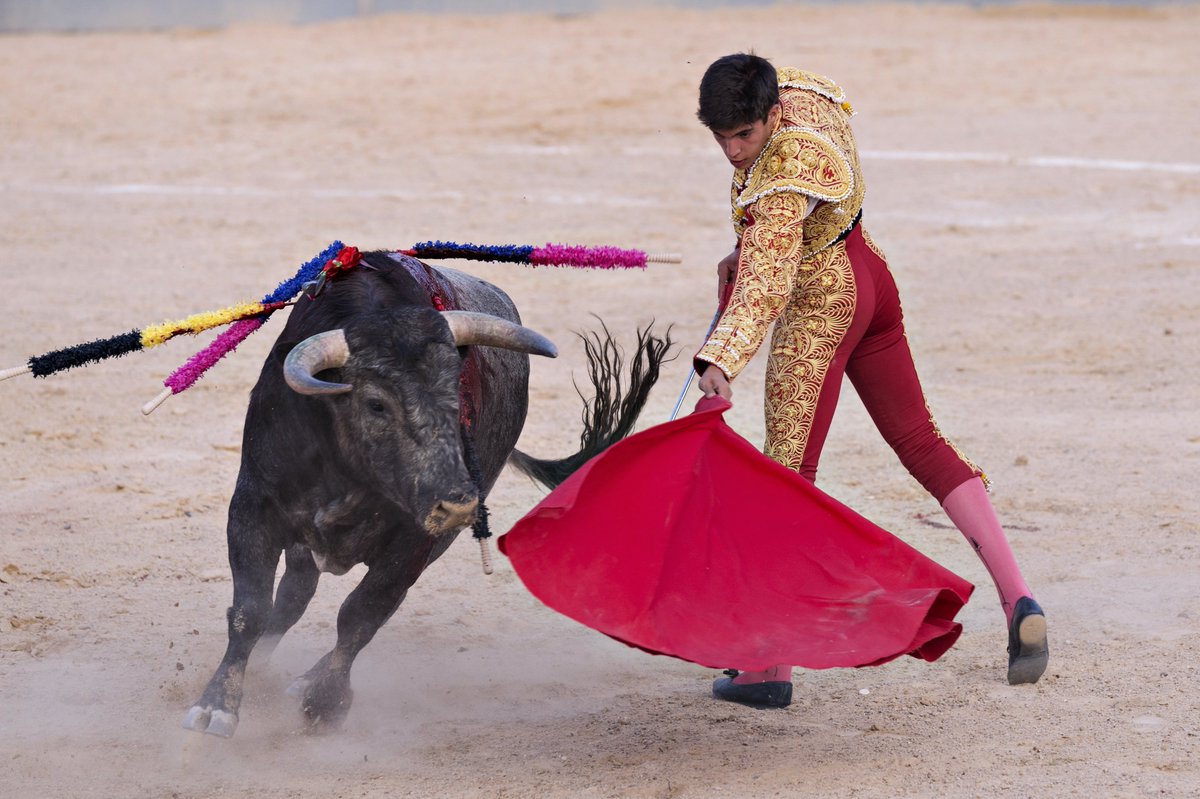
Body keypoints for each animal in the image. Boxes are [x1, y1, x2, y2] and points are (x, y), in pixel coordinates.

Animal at [184, 251, 676, 739]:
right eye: (376, 403)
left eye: (456, 399)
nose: (458, 503)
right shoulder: (252, 509)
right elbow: (251, 609)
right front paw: (216, 705)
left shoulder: (415, 540)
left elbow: (361, 614)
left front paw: (324, 702)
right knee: (294, 595)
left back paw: (305, 679)